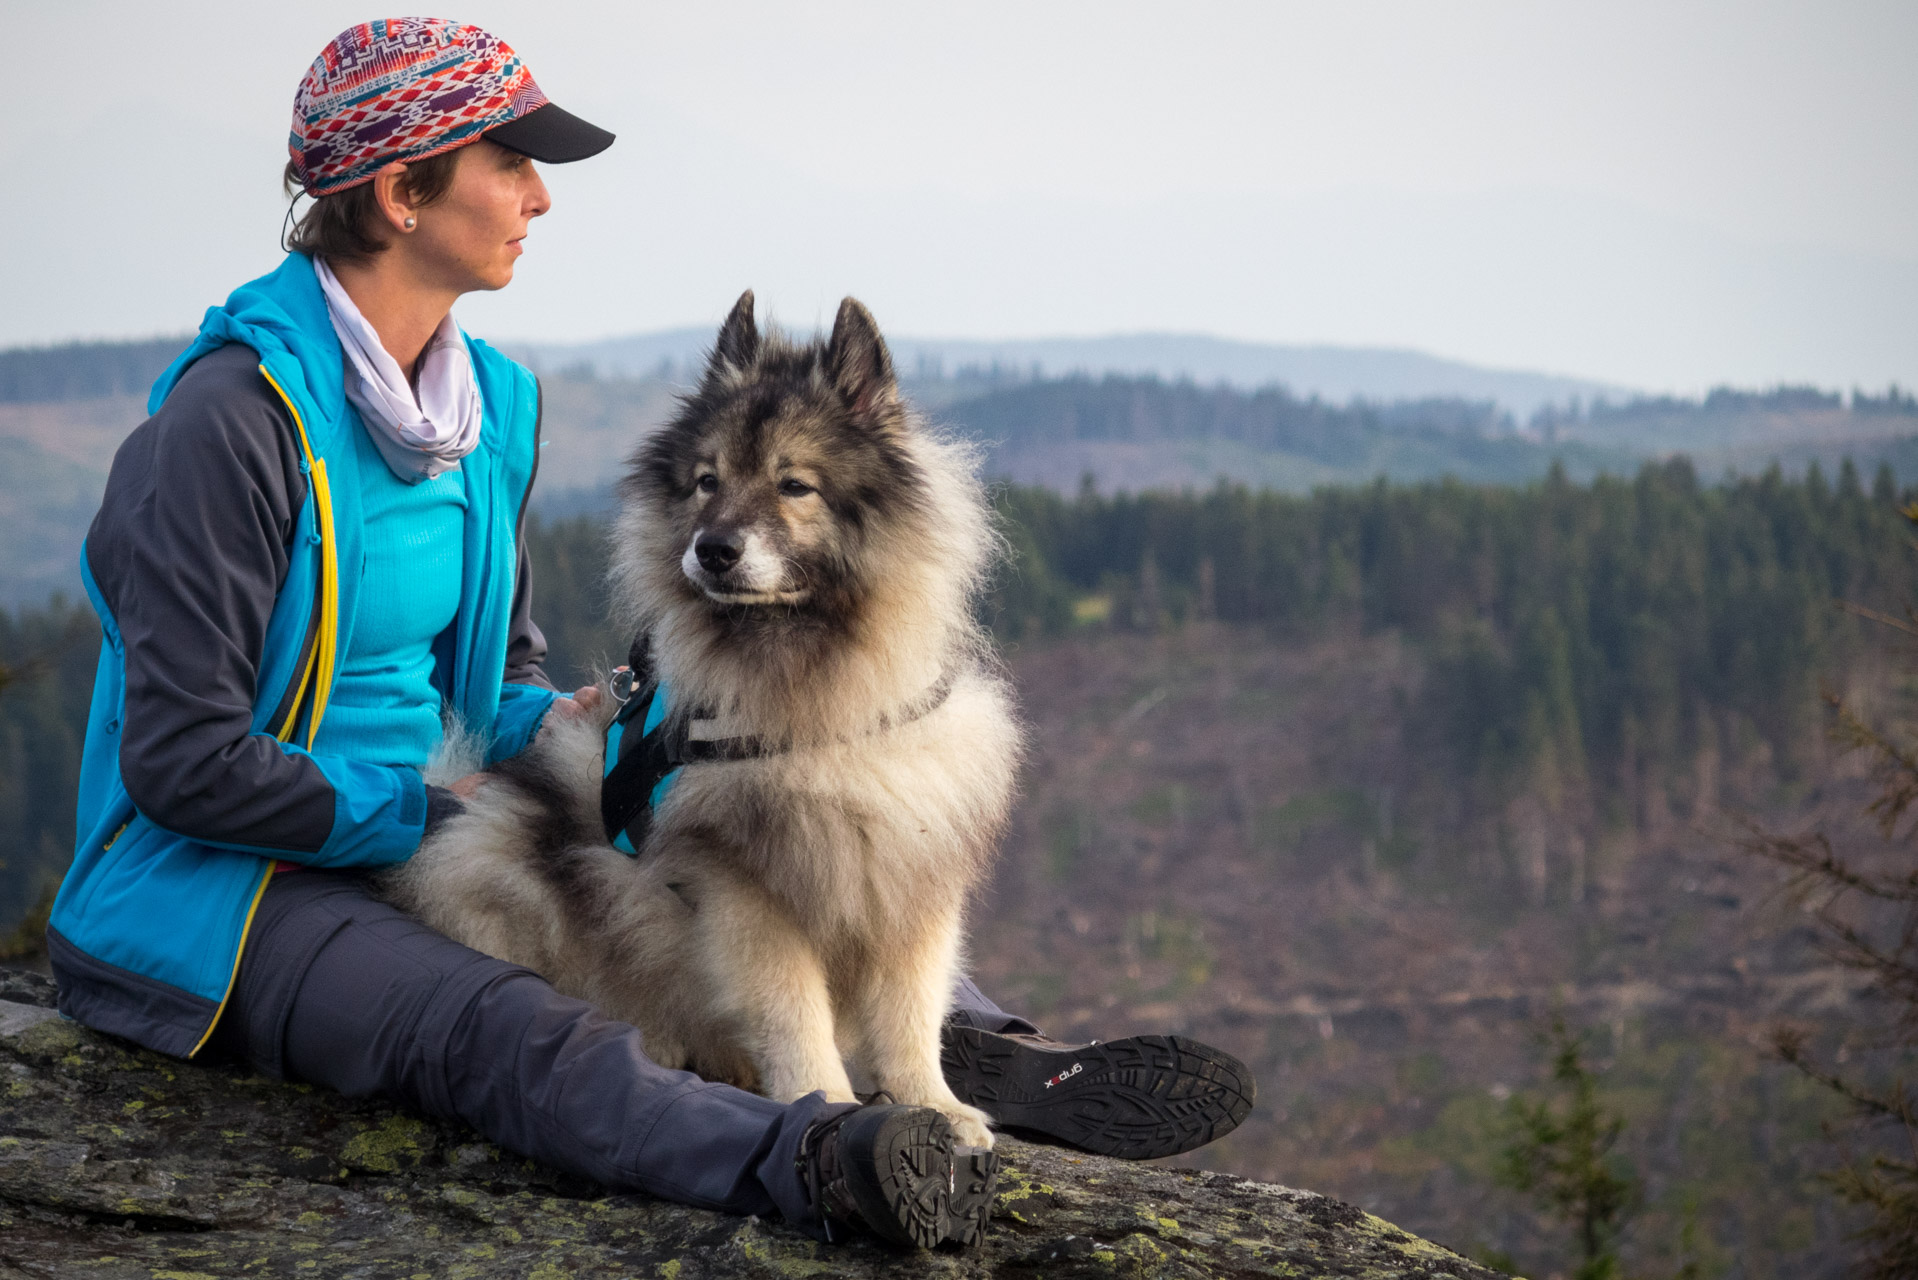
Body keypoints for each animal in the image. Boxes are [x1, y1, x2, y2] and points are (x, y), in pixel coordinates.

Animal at [379, 289, 1028, 1151]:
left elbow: (910, 1013)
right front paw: (826, 1103)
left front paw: (937, 1106)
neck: (813, 703)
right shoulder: (744, 886)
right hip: (499, 859)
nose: (713, 549)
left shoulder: (906, 874)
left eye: (795, 486)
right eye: (705, 482)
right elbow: (792, 1010)